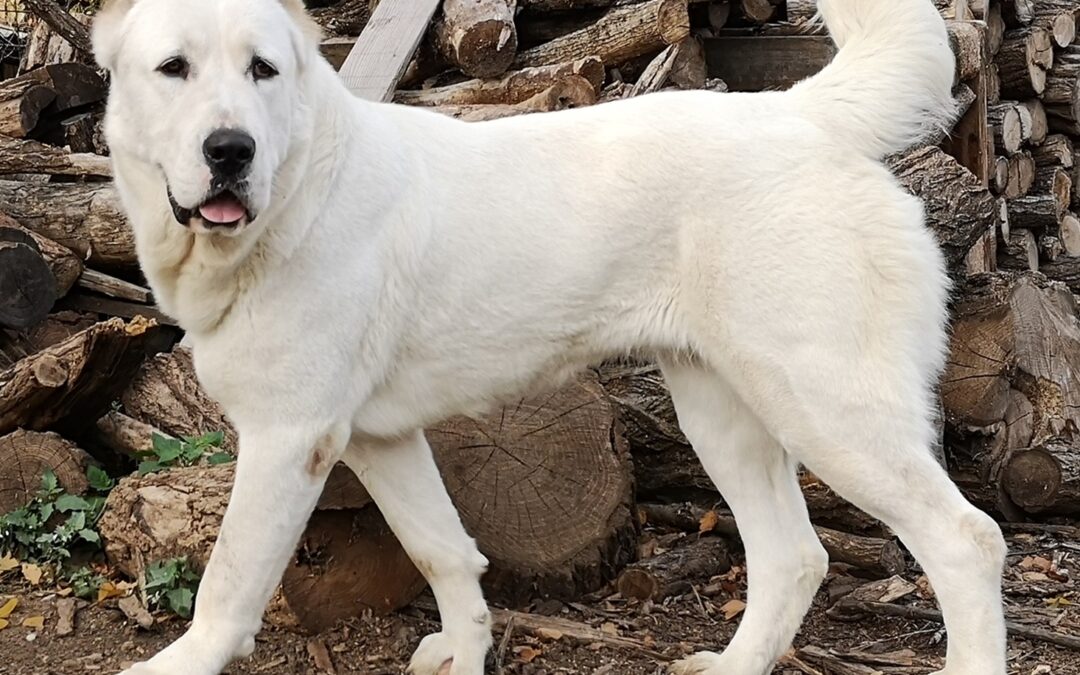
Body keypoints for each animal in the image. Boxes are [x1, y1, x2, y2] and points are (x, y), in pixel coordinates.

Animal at [92, 0, 1010, 669]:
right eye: (174, 69)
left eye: (264, 70)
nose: (231, 150)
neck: (296, 192)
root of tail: (802, 114)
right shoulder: (380, 439)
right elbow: (443, 554)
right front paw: (464, 651)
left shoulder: (289, 439)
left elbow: (228, 581)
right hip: (722, 411)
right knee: (795, 557)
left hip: (828, 410)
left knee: (967, 542)